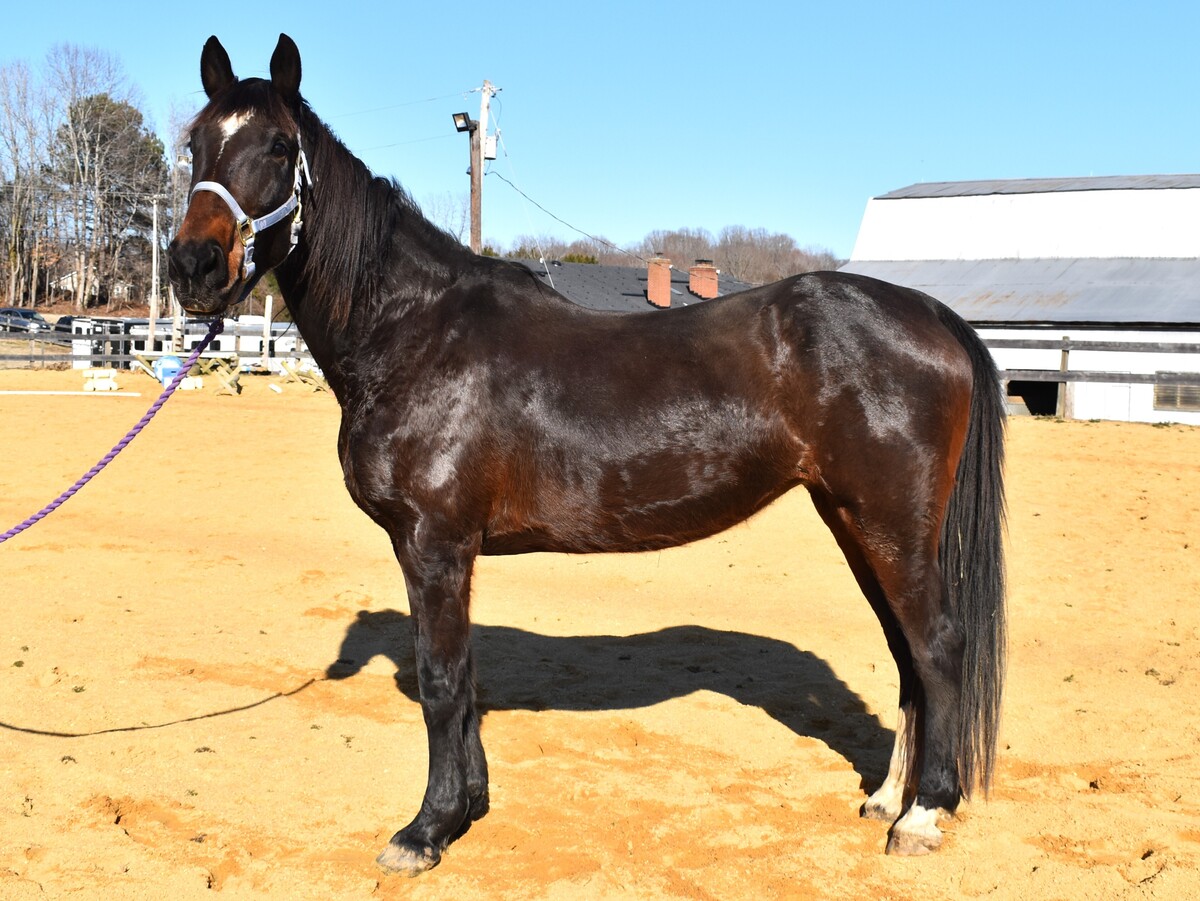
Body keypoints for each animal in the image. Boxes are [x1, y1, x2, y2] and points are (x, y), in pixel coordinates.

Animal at [169, 34, 1006, 874]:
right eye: (195, 143)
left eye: (279, 147)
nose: (193, 265)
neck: (414, 331)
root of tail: (929, 312)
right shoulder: (444, 550)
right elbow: (465, 677)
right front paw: (469, 806)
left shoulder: (434, 542)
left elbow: (441, 678)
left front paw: (427, 828)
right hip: (854, 519)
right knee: (905, 650)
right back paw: (887, 798)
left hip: (891, 524)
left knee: (937, 644)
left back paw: (923, 813)